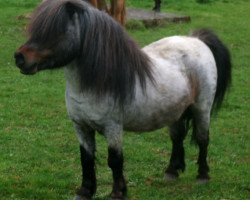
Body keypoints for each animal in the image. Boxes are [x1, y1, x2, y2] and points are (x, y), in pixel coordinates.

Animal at [14, 0, 231, 200]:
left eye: (57, 30)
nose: (20, 58)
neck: (96, 82)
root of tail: (197, 40)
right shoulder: (81, 126)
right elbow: (86, 158)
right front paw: (85, 191)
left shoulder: (113, 127)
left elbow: (115, 160)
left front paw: (118, 193)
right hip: (175, 112)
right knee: (177, 137)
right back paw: (171, 172)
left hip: (202, 109)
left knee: (203, 139)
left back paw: (203, 176)